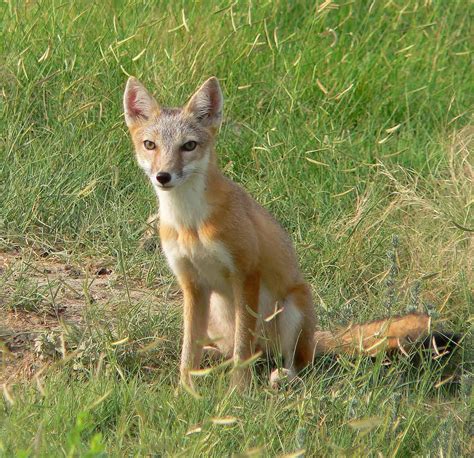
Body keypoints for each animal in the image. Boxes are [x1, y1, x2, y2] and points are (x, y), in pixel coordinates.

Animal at [123, 76, 456, 390]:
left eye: (188, 146)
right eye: (150, 145)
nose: (163, 176)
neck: (190, 224)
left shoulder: (246, 274)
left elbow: (242, 350)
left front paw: (237, 393)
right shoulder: (192, 284)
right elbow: (188, 351)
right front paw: (185, 391)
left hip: (292, 310)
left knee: (294, 362)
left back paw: (283, 377)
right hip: (217, 313)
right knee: (235, 351)